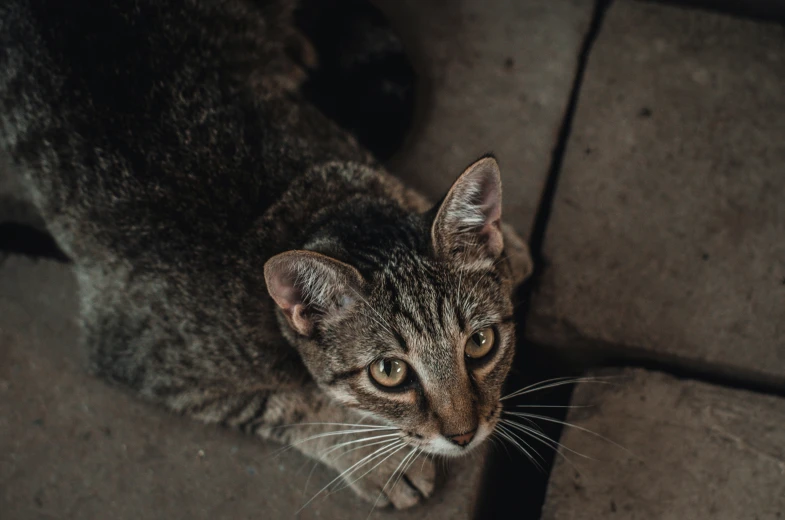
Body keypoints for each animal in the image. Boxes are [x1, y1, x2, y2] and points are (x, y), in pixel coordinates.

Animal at [0, 0, 532, 508]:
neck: (307, 207)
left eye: (480, 342)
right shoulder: (138, 353)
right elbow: (297, 403)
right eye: (389, 373)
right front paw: (376, 459)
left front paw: (503, 243)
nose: (465, 436)